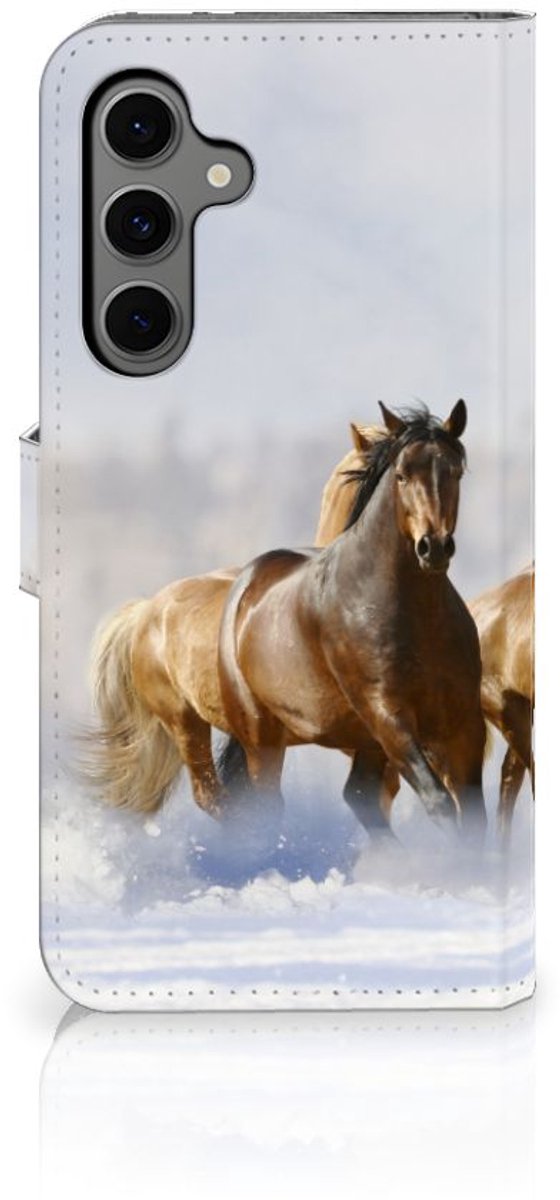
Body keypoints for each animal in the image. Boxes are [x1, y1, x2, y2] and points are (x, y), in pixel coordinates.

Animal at [217, 401, 486, 838]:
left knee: (360, 795)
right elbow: (440, 802)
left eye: (455, 472)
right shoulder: (388, 716)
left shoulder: (464, 722)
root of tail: (247, 583)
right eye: (401, 474)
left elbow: (475, 817)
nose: (433, 547)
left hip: (364, 742)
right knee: (268, 807)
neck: (418, 617)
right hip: (263, 736)